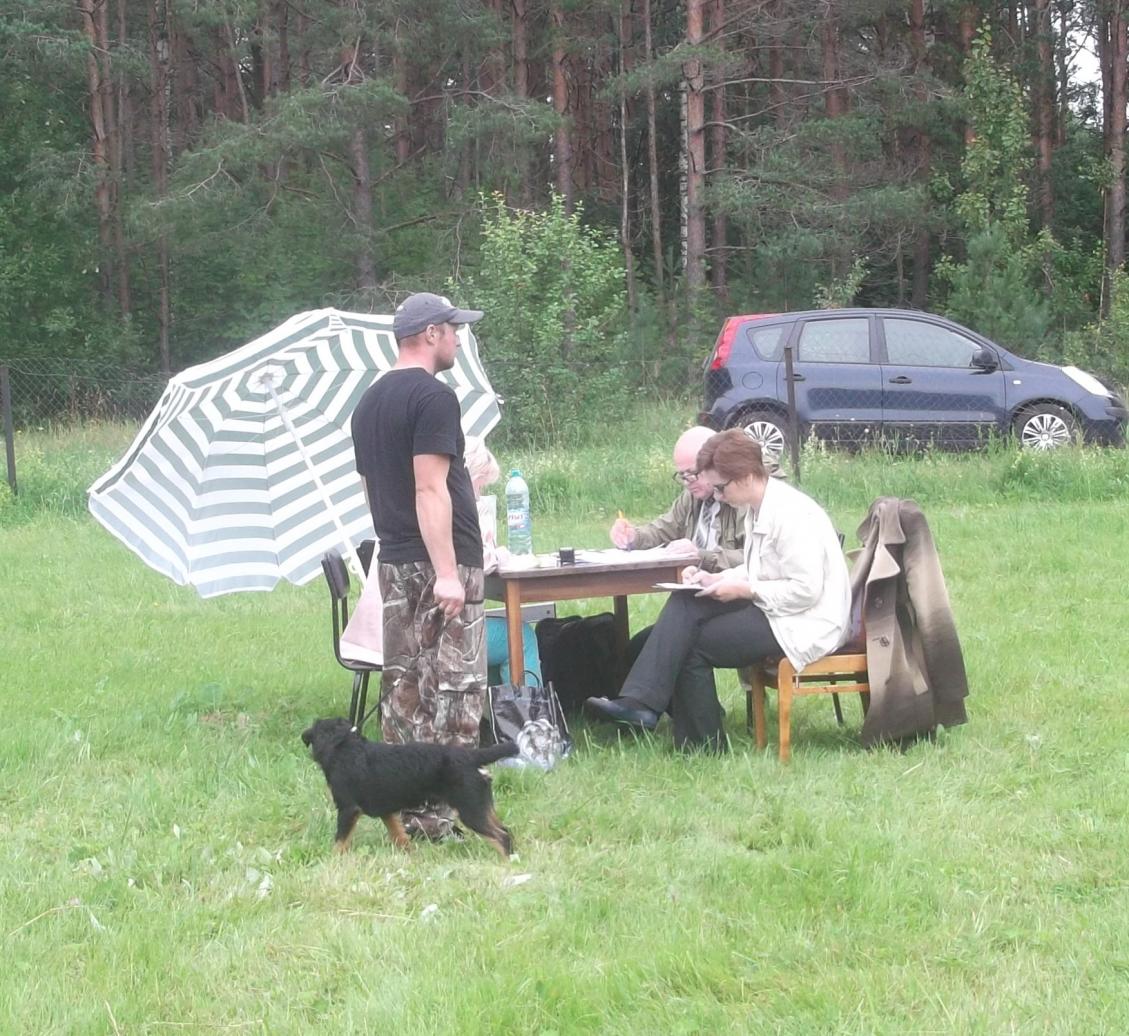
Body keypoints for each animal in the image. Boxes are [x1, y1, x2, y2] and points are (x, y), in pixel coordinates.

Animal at [301, 718, 518, 858]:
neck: (345, 747)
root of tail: (472, 756)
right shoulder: (385, 811)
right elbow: (398, 834)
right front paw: (410, 853)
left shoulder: (348, 809)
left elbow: (340, 841)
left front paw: (331, 862)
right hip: (481, 806)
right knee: (505, 830)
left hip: (470, 810)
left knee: (501, 837)